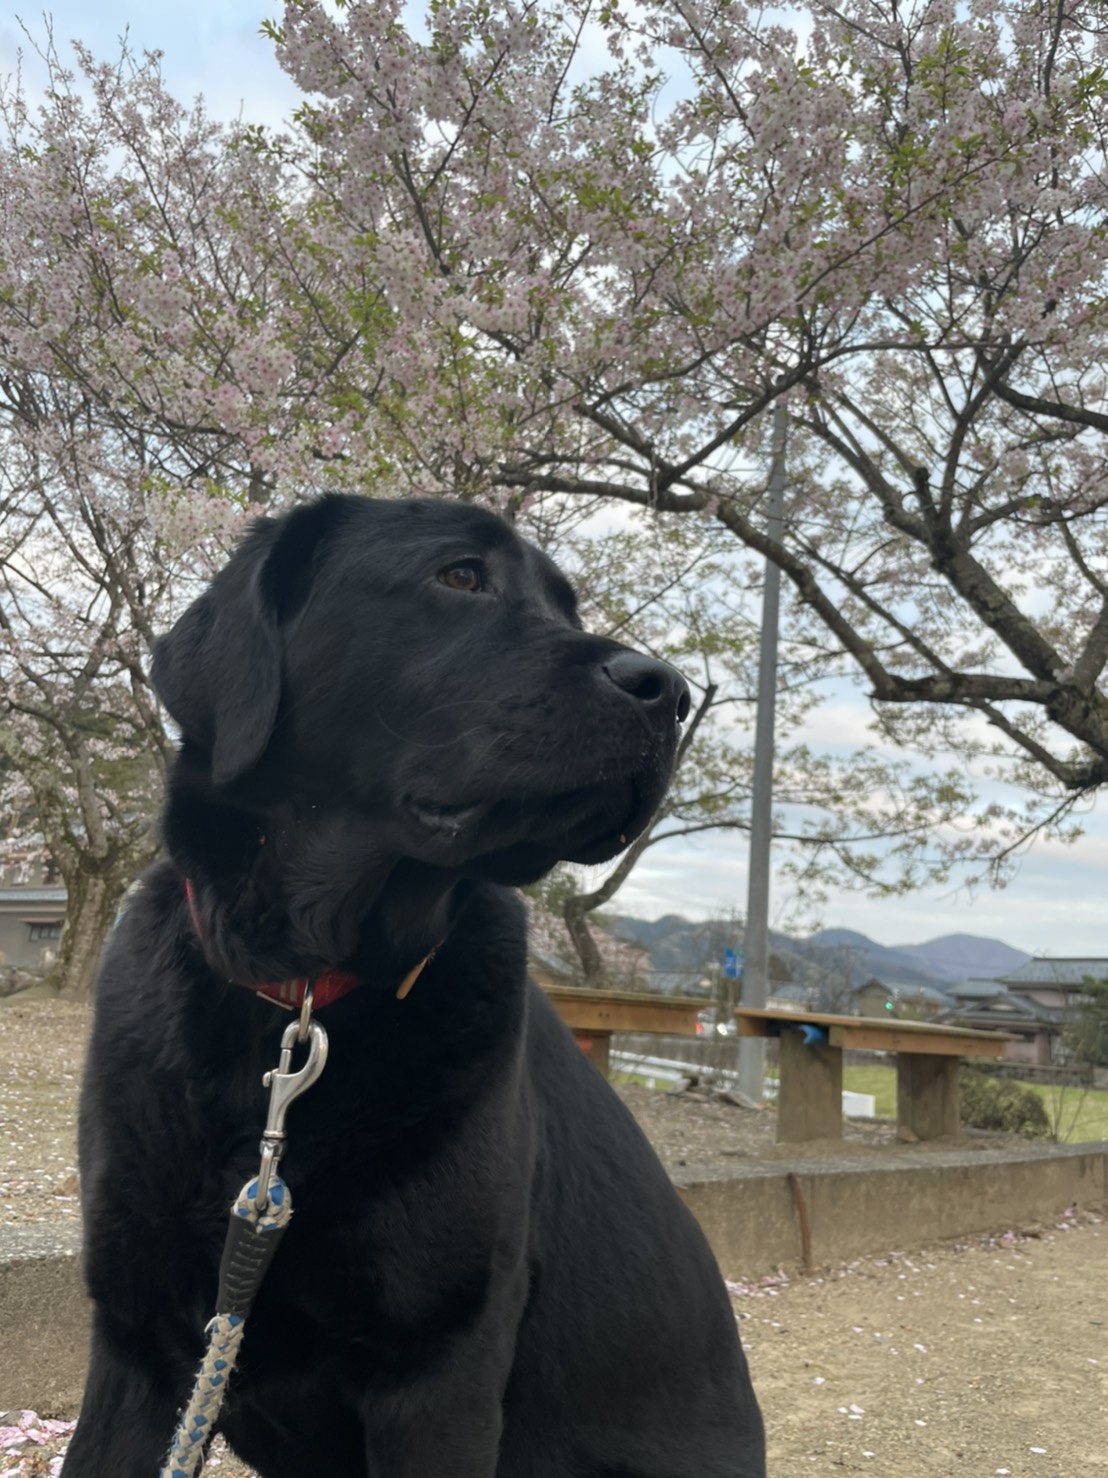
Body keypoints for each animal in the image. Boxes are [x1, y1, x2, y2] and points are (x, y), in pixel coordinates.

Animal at [60, 496, 768, 1478]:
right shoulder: (137, 1337)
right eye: (460, 575)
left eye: (567, 604)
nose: (668, 690)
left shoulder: (440, 1368)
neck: (304, 991)